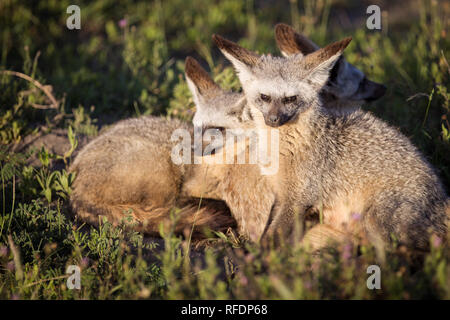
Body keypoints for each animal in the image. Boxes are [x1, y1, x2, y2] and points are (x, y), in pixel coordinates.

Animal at [213, 33, 448, 250]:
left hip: (376, 223)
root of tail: (442, 199)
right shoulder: (281, 195)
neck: (283, 150)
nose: (273, 120)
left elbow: (271, 240)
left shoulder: (298, 198)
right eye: (264, 97)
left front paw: (260, 260)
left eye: (291, 99)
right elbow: (268, 231)